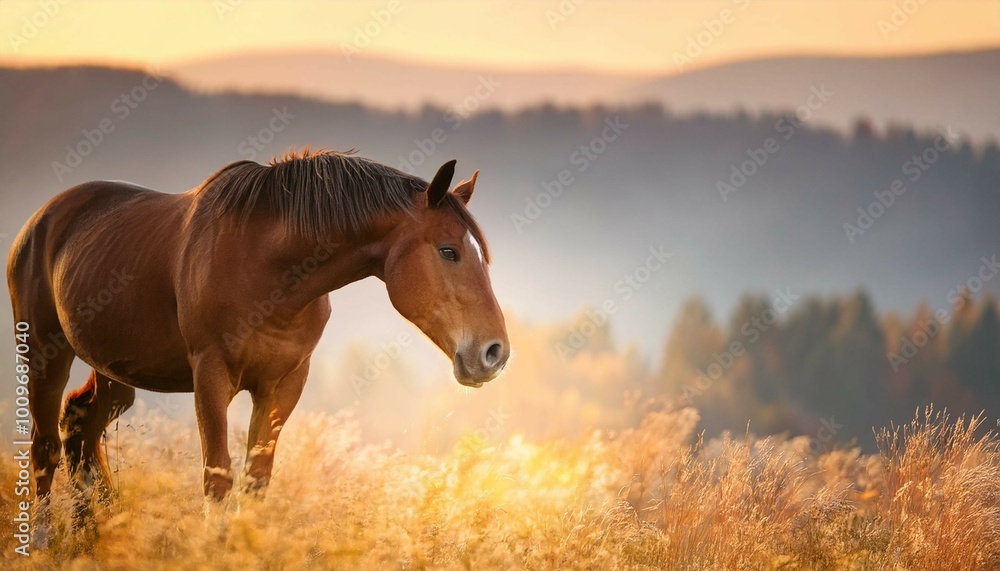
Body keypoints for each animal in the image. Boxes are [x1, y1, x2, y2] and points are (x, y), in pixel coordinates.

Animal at [6, 149, 509, 540]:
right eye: (448, 251)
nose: (494, 353)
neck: (269, 267)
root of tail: (38, 222)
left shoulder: (283, 383)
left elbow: (256, 480)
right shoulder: (211, 377)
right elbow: (218, 476)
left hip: (114, 372)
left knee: (81, 429)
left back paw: (92, 532)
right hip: (46, 354)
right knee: (45, 447)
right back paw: (45, 541)